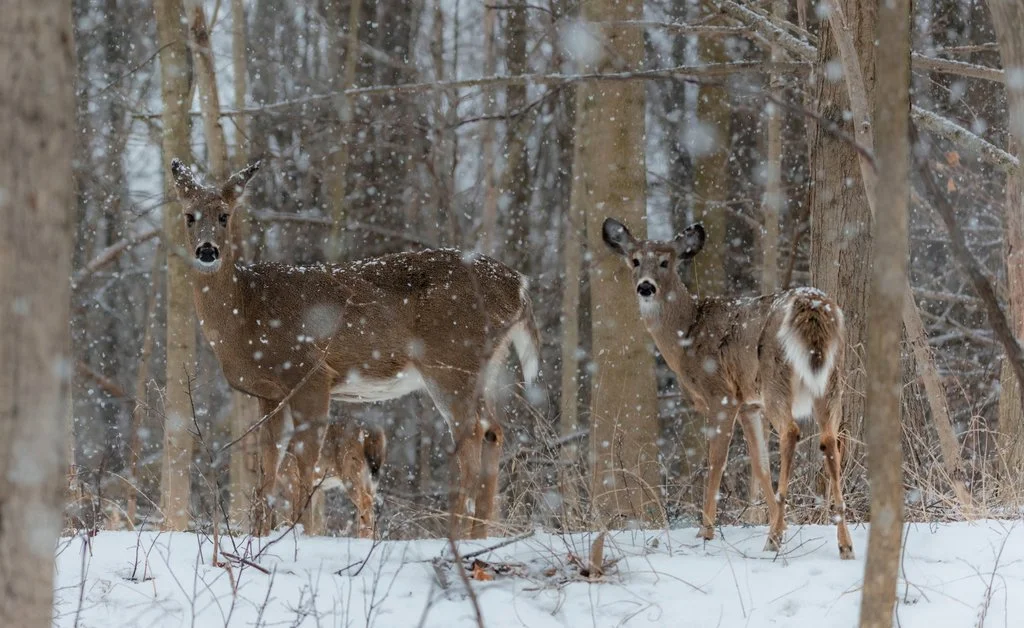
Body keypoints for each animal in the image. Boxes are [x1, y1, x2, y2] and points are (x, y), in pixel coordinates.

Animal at [169, 158, 541, 539]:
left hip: (451, 362)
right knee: (494, 430)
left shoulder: (310, 374)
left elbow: (304, 464)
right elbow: (268, 469)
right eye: (189, 215)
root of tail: (518, 286)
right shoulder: (270, 394)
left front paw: (299, 534)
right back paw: (478, 534)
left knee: (471, 437)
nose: (207, 251)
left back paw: (457, 534)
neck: (246, 312)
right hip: (485, 366)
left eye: (224, 215)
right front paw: (261, 535)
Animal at [601, 217, 853, 559]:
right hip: (832, 381)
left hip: (776, 376)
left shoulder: (721, 393)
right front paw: (781, 521)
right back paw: (844, 543)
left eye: (666, 262)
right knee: (830, 440)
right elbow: (759, 465)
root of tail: (812, 305)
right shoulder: (749, 404)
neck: (686, 335)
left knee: (791, 432)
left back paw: (774, 539)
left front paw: (706, 530)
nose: (646, 287)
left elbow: (715, 460)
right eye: (635, 260)